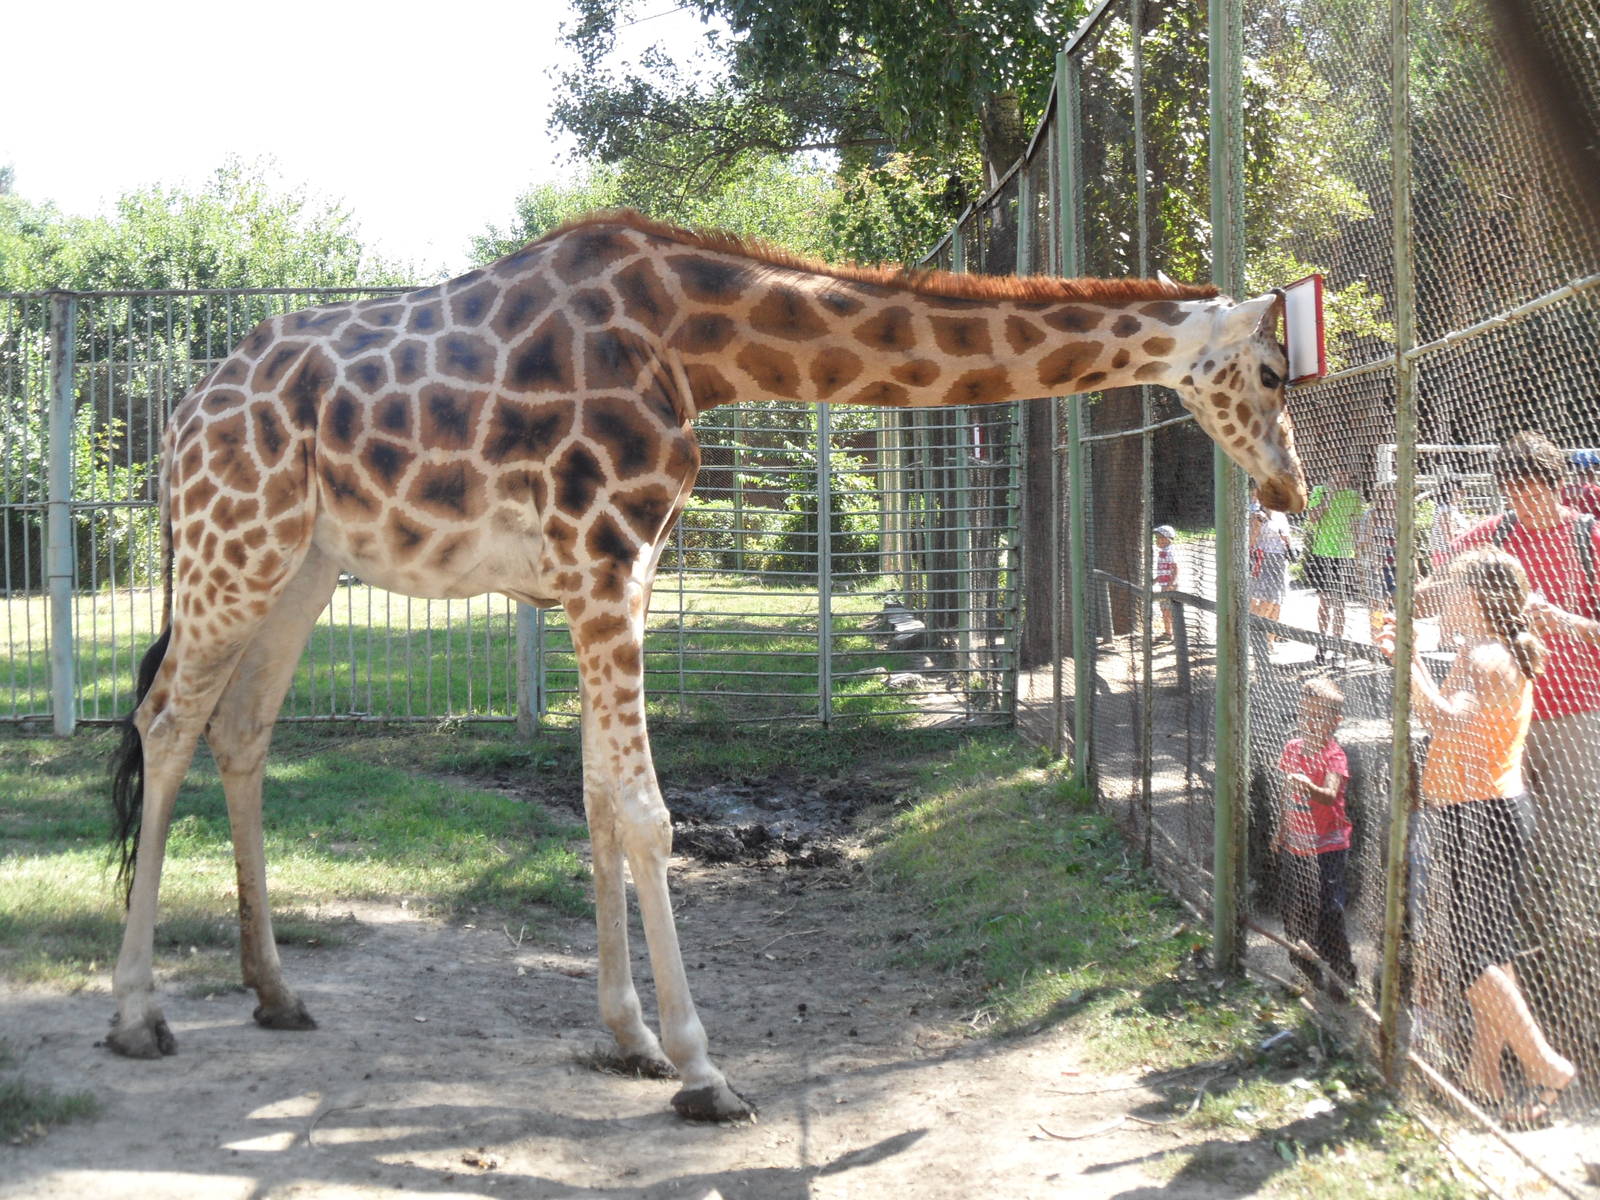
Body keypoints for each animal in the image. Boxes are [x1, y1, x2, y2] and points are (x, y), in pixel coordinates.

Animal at [106, 210, 1307, 1121]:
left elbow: (598, 799)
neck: (696, 344)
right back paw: (137, 1016)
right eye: (1272, 370)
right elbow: (646, 814)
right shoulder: (602, 563)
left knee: (240, 729)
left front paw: (630, 1039)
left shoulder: (619, 575)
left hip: (300, 566)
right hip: (232, 547)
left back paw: (274, 992)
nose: (1289, 487)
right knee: (165, 722)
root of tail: (182, 415)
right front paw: (701, 1066)